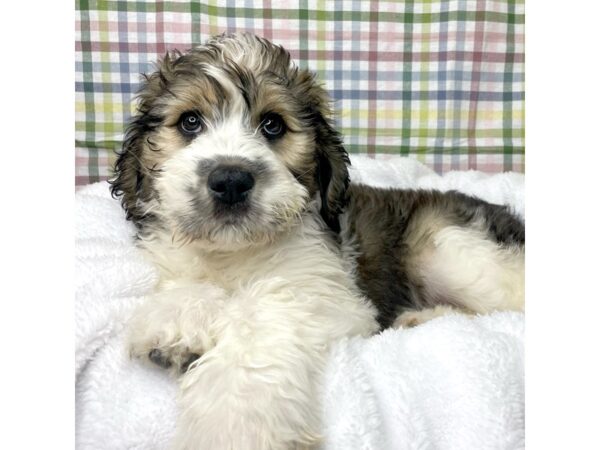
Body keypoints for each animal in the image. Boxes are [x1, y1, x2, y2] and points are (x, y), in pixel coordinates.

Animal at [110, 33, 524, 448]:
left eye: (272, 125)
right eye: (190, 121)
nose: (230, 180)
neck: (236, 251)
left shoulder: (322, 291)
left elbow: (261, 322)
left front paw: (235, 424)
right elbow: (186, 283)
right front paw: (176, 325)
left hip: (447, 247)